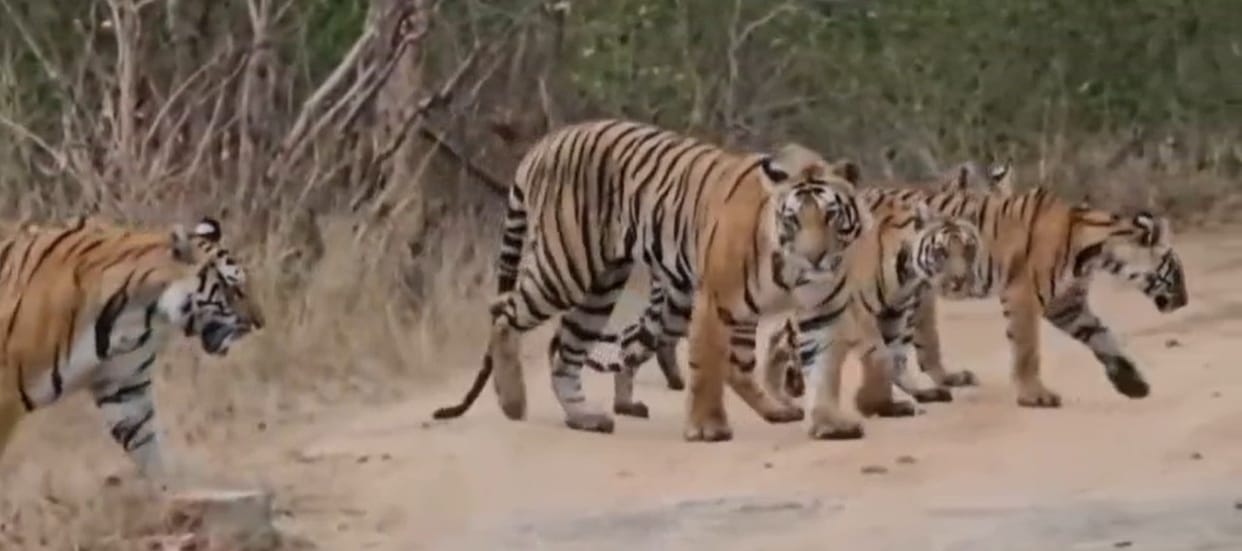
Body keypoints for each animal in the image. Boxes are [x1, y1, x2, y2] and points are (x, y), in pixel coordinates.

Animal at [0, 215, 264, 477]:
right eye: (234, 289)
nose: (260, 322)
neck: (142, 314)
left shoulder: (125, 389)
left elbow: (151, 454)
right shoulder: (6, 396)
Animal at [429, 118, 871, 442]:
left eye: (830, 216)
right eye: (794, 219)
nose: (815, 257)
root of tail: (546, 142)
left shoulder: (823, 308)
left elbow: (825, 367)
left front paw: (830, 422)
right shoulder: (715, 301)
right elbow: (707, 365)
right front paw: (707, 428)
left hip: (602, 288)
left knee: (568, 351)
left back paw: (585, 417)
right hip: (564, 268)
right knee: (503, 311)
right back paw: (513, 402)